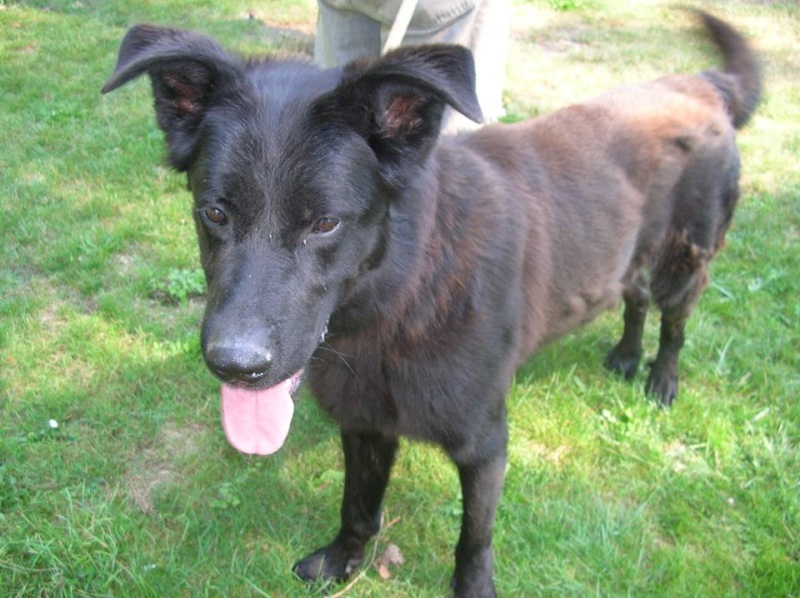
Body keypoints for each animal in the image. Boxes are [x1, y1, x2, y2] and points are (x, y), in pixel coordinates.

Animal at [101, 10, 764, 598]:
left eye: (324, 223)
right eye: (214, 212)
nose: (235, 365)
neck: (400, 302)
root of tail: (702, 83)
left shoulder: (485, 444)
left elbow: (475, 538)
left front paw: (472, 589)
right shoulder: (366, 423)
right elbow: (357, 505)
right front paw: (343, 562)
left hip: (686, 257)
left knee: (673, 321)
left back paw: (660, 379)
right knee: (634, 297)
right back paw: (626, 355)